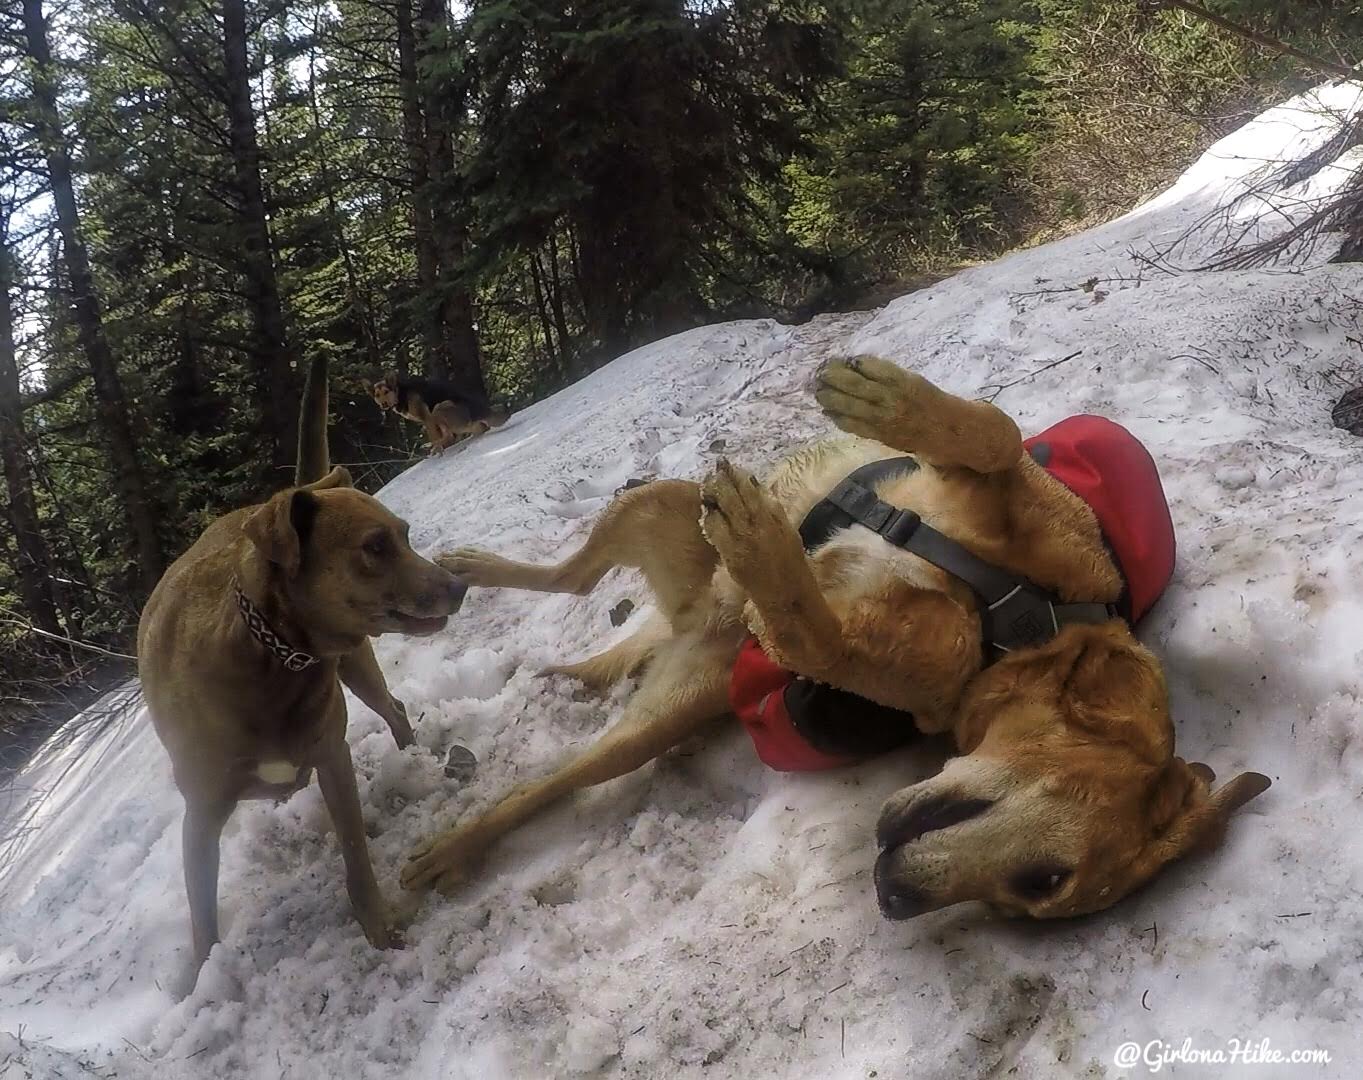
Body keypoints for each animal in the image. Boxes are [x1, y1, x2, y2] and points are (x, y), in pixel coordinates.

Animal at [139, 357, 468, 981]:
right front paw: (205, 981)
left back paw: (417, 758)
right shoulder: (201, 813)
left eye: (406, 534)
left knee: (394, 708)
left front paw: (380, 930)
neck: (272, 655)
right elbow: (202, 918)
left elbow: (357, 859)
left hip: (359, 667)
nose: (458, 586)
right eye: (375, 546)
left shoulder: (331, 755)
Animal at [370, 373, 509, 452]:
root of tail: (482, 410)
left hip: (439, 408)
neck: (401, 392)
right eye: (377, 395)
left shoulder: (427, 418)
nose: (383, 404)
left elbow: (435, 436)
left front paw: (437, 448)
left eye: (386, 392)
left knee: (468, 430)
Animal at [400, 351, 1264, 921]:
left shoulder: (869, 661)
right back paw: (470, 568)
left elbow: (812, 632)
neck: (1020, 621)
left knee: (554, 771)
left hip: (666, 703)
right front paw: (882, 400)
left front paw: (765, 552)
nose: (891, 897)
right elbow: (991, 429)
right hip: (657, 500)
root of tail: (692, 619)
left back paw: (458, 838)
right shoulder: (1003, 494)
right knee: (574, 576)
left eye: (1034, 889)